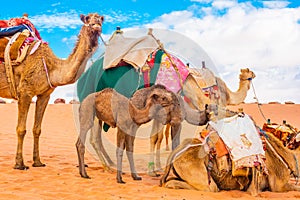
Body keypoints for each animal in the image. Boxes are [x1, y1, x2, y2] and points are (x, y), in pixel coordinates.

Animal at [0, 12, 104, 170]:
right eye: (88, 19)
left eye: (101, 19)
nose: (96, 24)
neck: (52, 67)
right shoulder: (25, 92)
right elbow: (21, 129)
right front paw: (19, 164)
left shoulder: (45, 95)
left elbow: (37, 129)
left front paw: (38, 162)